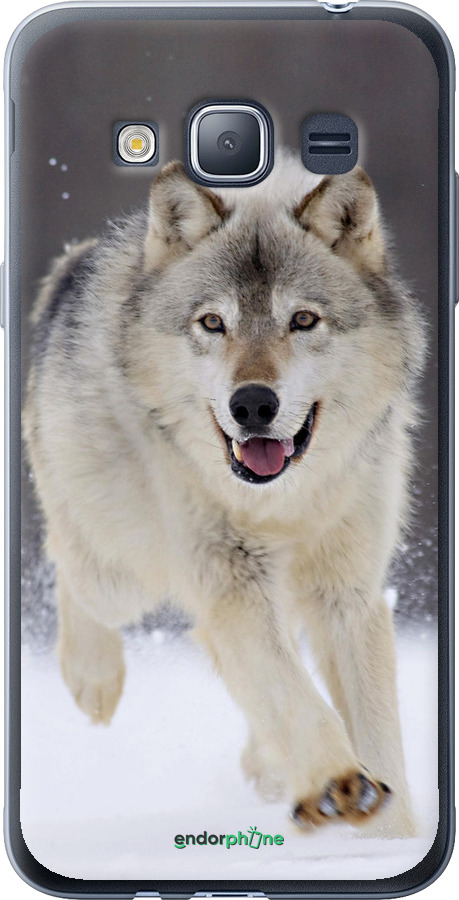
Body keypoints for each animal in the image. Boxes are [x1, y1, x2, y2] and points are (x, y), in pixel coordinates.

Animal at [24, 149, 425, 836]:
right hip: (121, 572)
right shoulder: (230, 580)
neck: (283, 503)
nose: (253, 404)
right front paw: (338, 783)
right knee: (70, 564)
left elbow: (374, 733)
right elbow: (295, 697)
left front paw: (390, 836)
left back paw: (269, 767)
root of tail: (73, 264)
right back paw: (93, 680)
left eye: (303, 320)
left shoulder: (347, 595)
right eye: (213, 322)